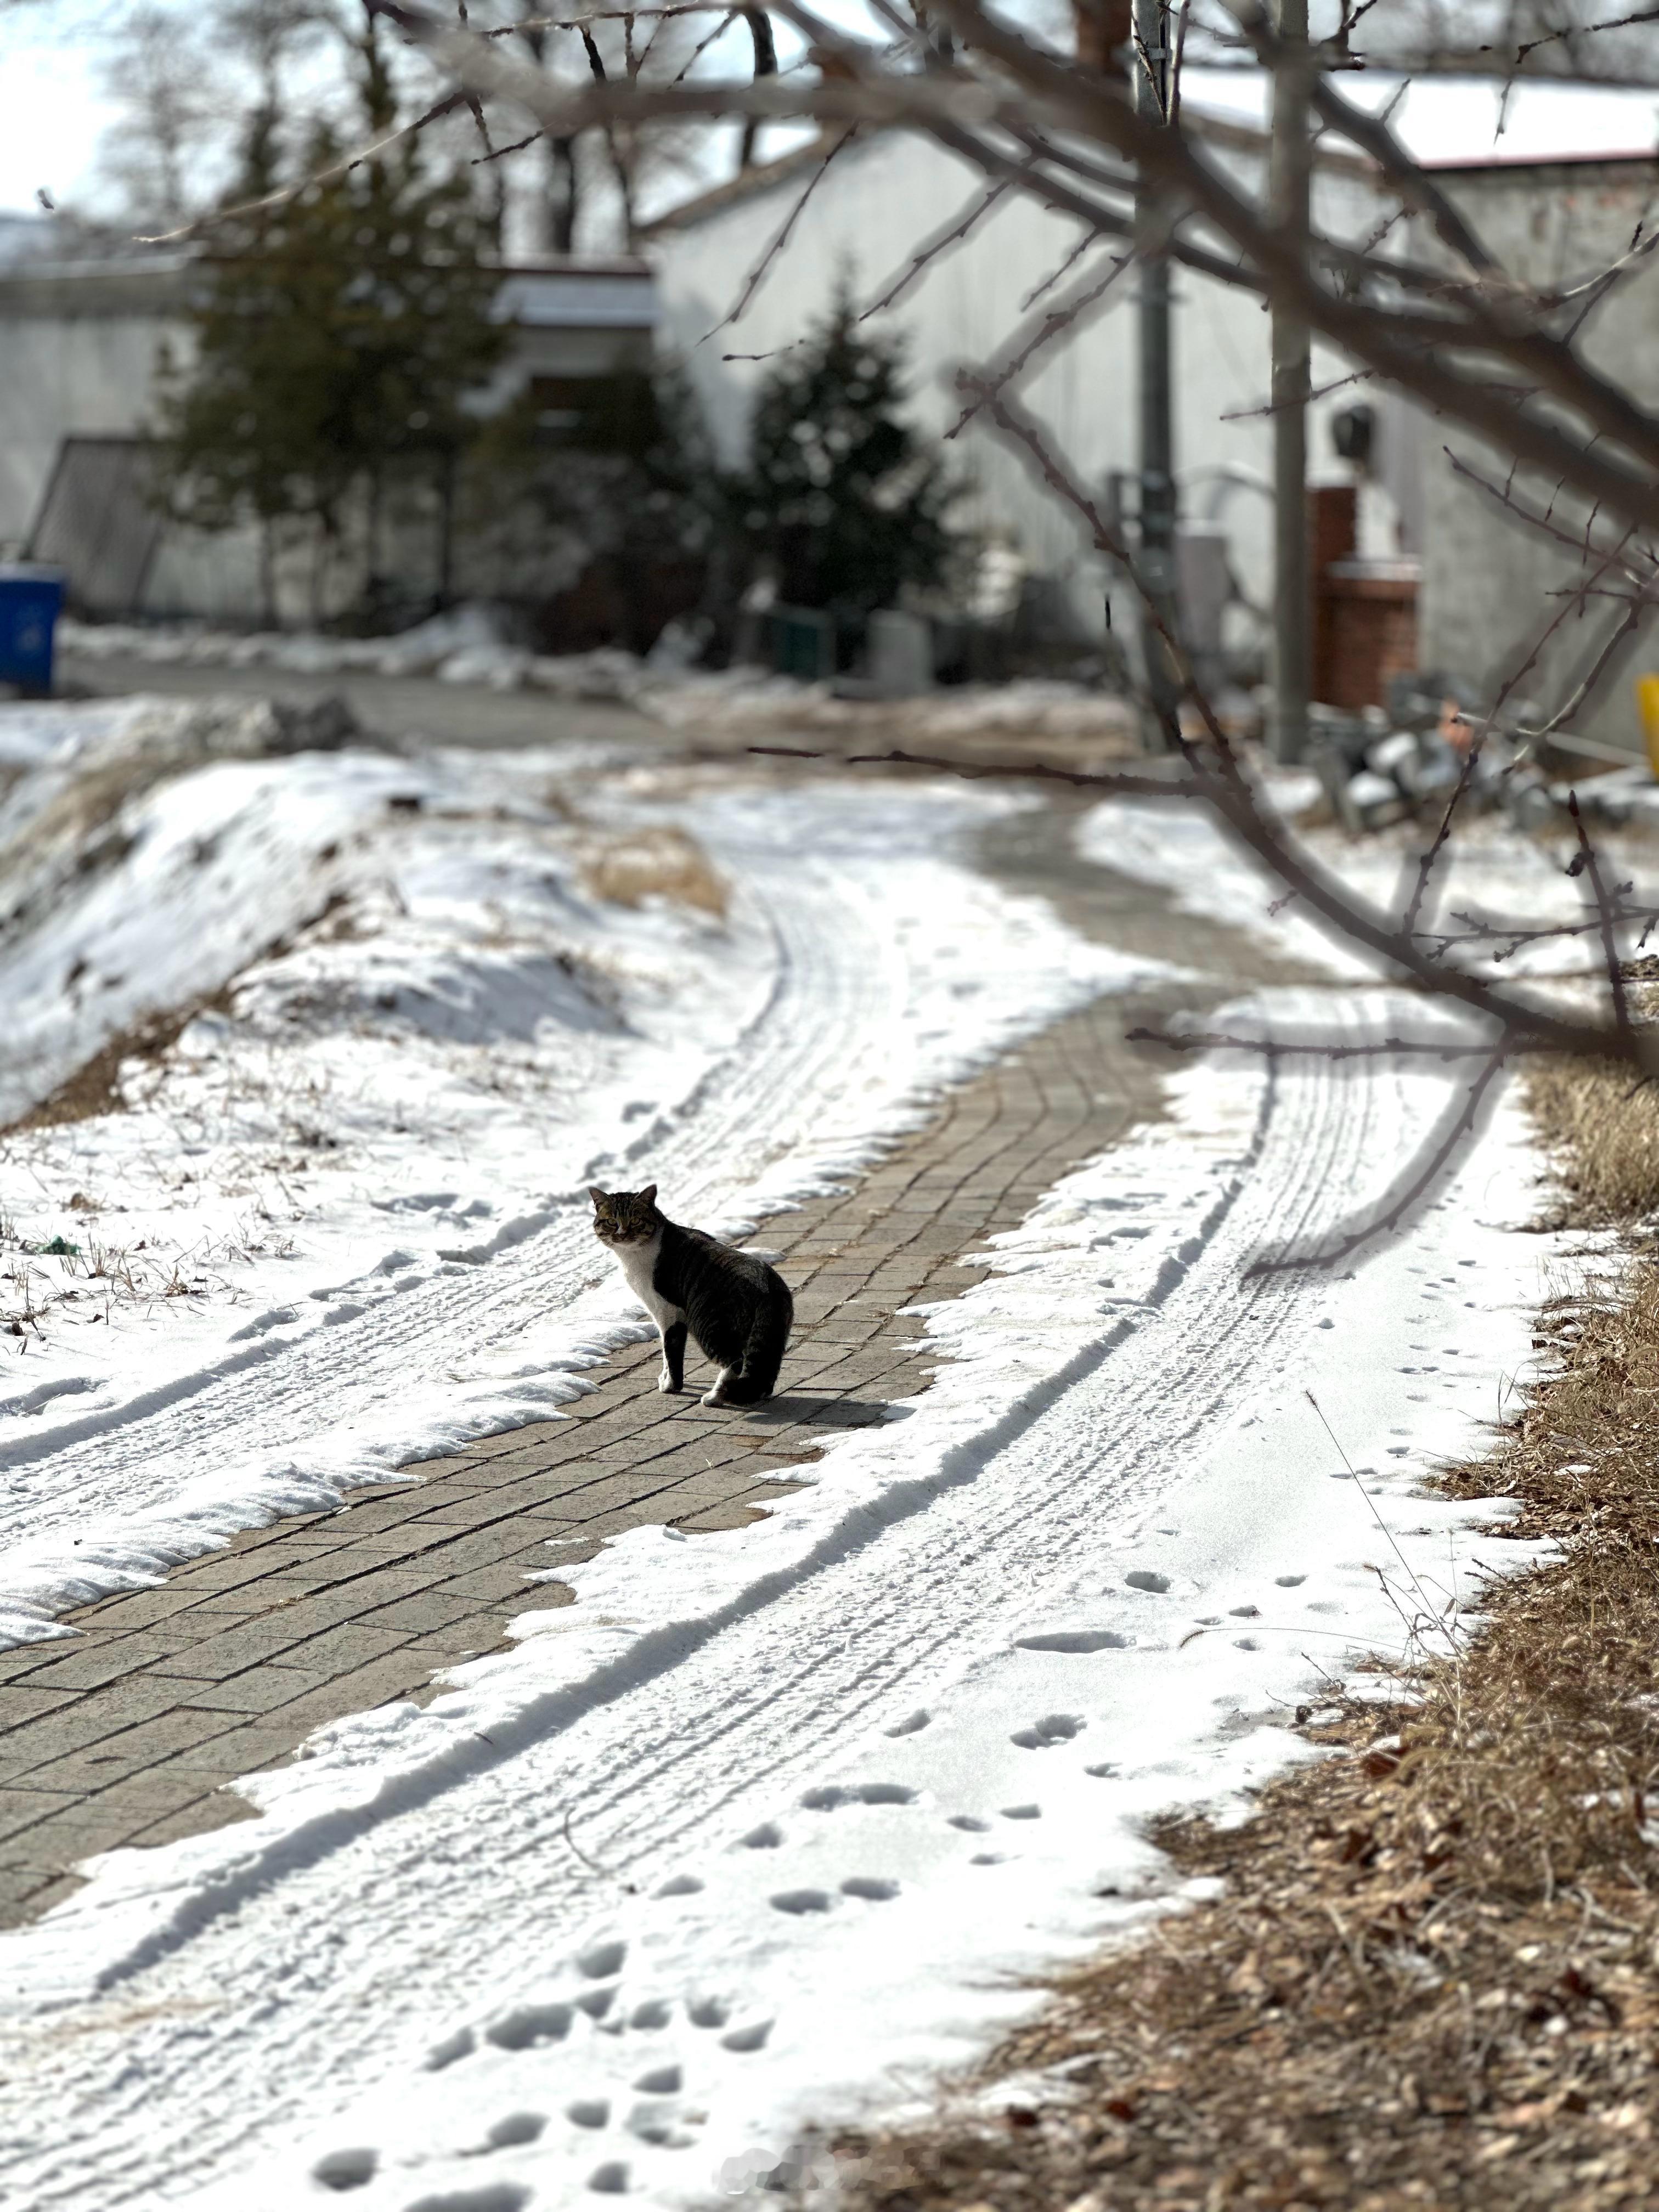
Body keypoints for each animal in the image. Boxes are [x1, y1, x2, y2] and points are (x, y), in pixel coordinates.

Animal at [588, 1186, 796, 1407]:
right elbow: (667, 1353)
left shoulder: (667, 1311)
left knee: (735, 1361)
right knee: (763, 1371)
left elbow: (670, 1351)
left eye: (635, 1220)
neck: (633, 1256)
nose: (622, 1234)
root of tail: (767, 1285)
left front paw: (670, 1386)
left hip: (708, 1324)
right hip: (769, 1336)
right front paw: (665, 1378)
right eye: (612, 1222)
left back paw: (714, 1397)